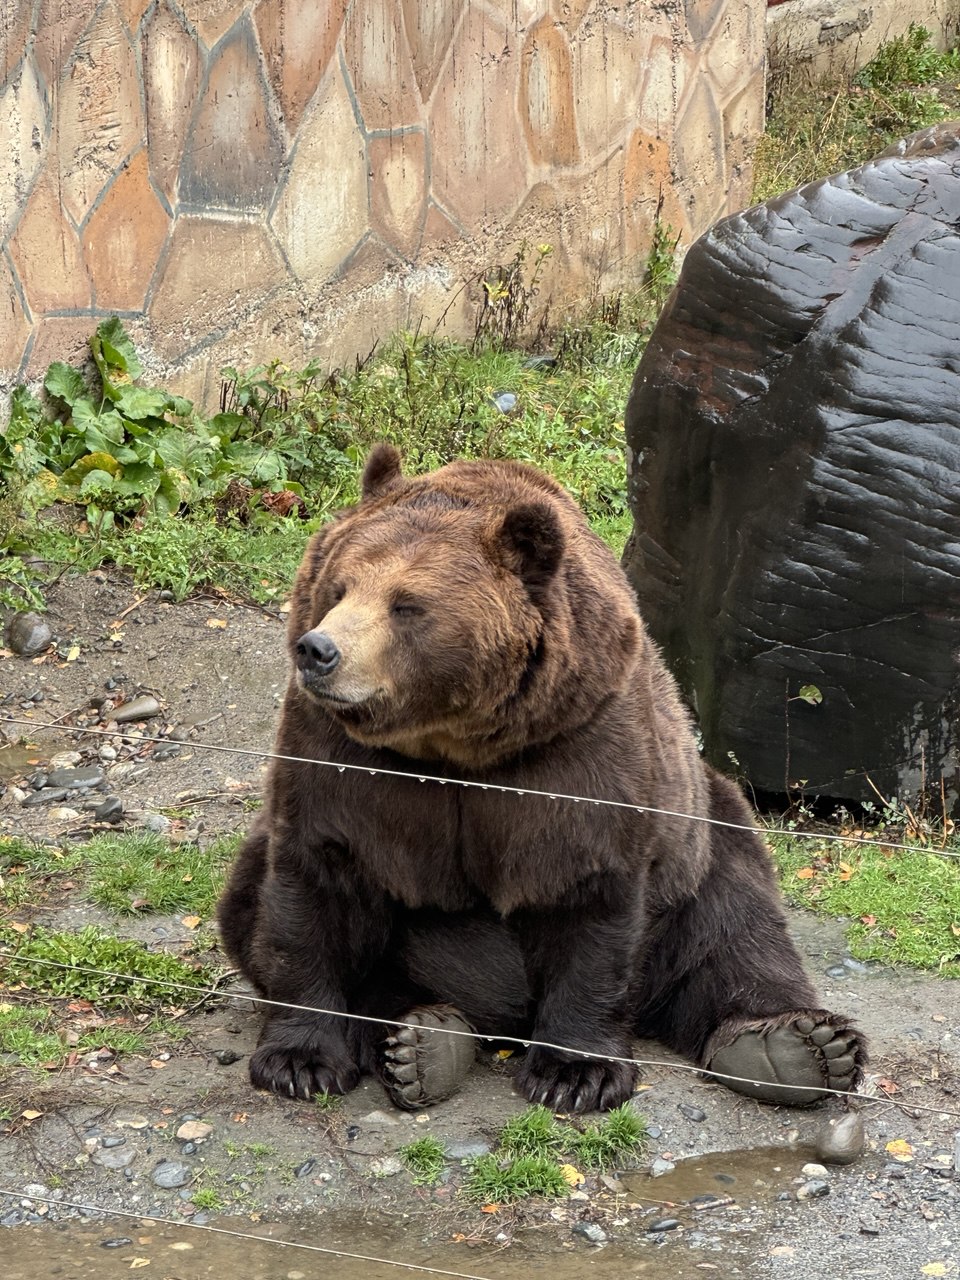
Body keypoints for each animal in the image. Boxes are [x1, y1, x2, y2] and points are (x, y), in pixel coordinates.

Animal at [217, 444, 866, 1113]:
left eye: (407, 604)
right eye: (339, 588)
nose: (318, 651)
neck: (455, 741)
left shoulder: (580, 748)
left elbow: (588, 892)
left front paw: (574, 1074)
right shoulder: (344, 761)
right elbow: (314, 887)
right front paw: (300, 1060)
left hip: (704, 829)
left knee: (736, 928)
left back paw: (794, 1045)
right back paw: (424, 1040)